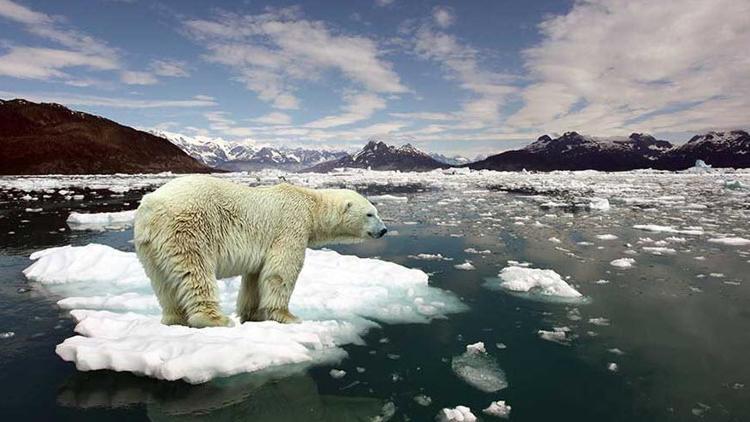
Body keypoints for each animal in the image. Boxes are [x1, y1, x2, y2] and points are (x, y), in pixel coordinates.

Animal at [134, 175, 388, 326]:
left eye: (376, 211)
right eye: (370, 214)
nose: (384, 230)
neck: (311, 205)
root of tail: (151, 207)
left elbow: (255, 277)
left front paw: (252, 314)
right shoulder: (291, 226)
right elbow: (281, 270)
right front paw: (288, 316)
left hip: (149, 246)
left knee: (162, 282)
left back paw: (174, 318)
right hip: (188, 229)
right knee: (195, 272)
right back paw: (215, 319)